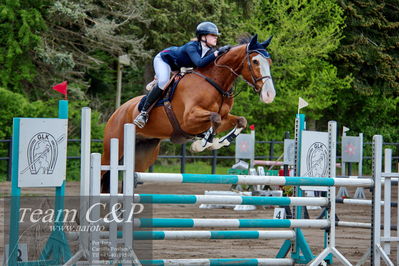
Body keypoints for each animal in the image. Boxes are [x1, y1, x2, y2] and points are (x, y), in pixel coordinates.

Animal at [101, 34, 276, 192]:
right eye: (255, 61)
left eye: (269, 62)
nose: (269, 95)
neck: (215, 82)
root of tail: (118, 111)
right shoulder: (189, 119)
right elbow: (215, 118)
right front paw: (202, 144)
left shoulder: (225, 117)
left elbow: (240, 121)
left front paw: (219, 142)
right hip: (113, 147)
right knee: (103, 171)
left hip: (144, 154)